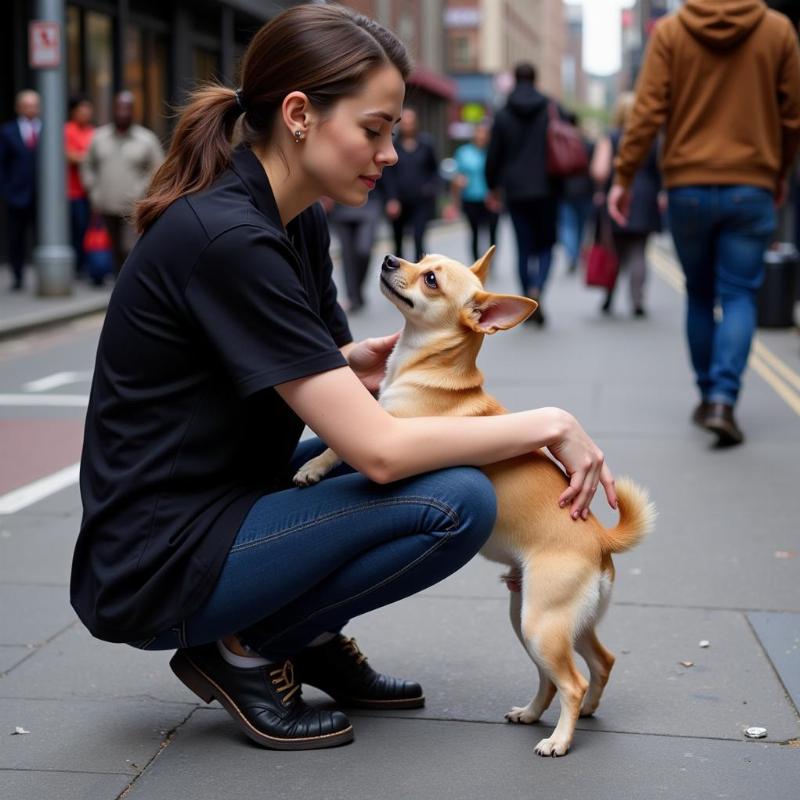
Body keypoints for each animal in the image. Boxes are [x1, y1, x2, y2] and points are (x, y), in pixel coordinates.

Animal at [294, 248, 656, 756]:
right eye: (419, 258)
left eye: (429, 279)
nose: (389, 258)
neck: (420, 368)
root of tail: (601, 540)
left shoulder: (390, 439)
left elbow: (335, 447)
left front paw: (312, 467)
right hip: (539, 622)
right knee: (592, 665)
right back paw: (543, 713)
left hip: (541, 624)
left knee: (573, 681)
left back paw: (559, 739)